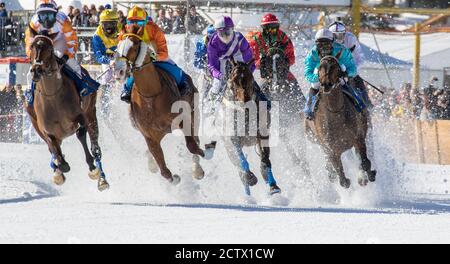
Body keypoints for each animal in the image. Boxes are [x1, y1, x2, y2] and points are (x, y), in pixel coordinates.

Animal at [27, 27, 110, 191]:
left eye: (50, 48)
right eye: (32, 46)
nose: (37, 70)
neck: (52, 96)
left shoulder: (80, 116)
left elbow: (81, 134)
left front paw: (92, 168)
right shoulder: (46, 129)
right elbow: (53, 147)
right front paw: (60, 167)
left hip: (91, 111)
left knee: (95, 144)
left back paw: (102, 177)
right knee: (52, 148)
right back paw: (57, 170)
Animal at [112, 25, 214, 186]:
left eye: (135, 45)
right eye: (118, 46)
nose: (119, 71)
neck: (151, 96)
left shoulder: (183, 119)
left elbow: (193, 146)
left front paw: (206, 154)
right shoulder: (149, 136)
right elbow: (164, 172)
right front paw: (174, 177)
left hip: (194, 110)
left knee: (195, 139)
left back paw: (197, 168)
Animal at [258, 49, 312, 177]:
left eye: (281, 64)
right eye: (268, 67)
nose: (275, 86)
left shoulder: (297, 124)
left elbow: (301, 148)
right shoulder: (280, 130)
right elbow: (289, 147)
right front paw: (297, 162)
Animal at [306, 55, 376, 188]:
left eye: (336, 67)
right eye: (320, 67)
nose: (326, 84)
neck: (335, 113)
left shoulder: (358, 137)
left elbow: (365, 162)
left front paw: (369, 175)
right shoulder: (330, 148)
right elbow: (342, 179)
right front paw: (343, 178)